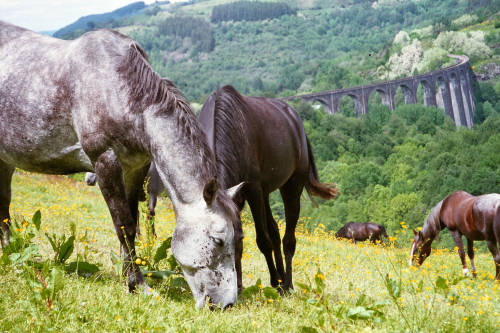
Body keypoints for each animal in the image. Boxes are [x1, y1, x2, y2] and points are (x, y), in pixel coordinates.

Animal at [0, 20, 242, 306]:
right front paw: (139, 284)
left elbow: (133, 222)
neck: (121, 90)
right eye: (218, 240)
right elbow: (124, 226)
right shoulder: (105, 162)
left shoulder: (135, 168)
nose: (226, 303)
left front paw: (127, 279)